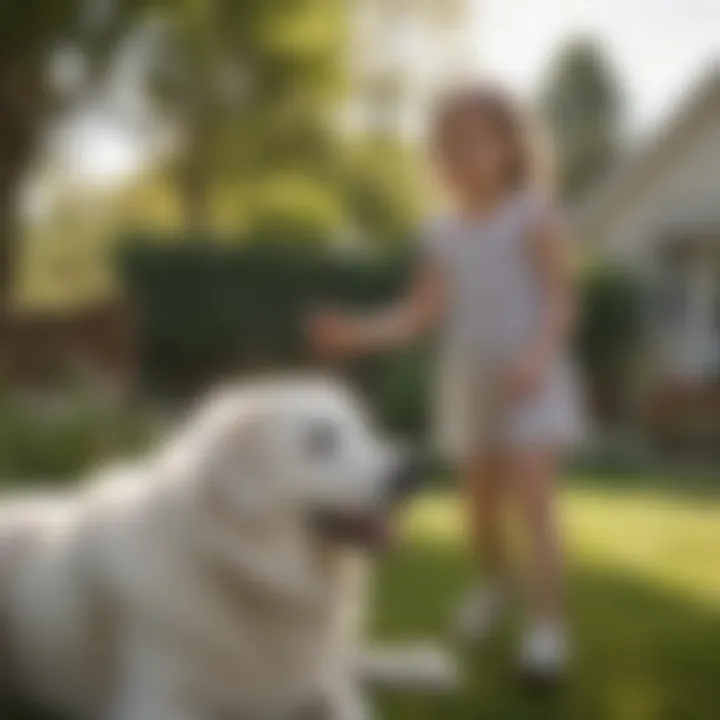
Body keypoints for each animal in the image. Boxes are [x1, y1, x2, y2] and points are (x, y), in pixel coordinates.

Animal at [0, 376, 456, 720]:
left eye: (365, 430)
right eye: (320, 440)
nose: (409, 470)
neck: (248, 572)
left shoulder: (322, 683)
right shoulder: (156, 704)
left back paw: (426, 663)